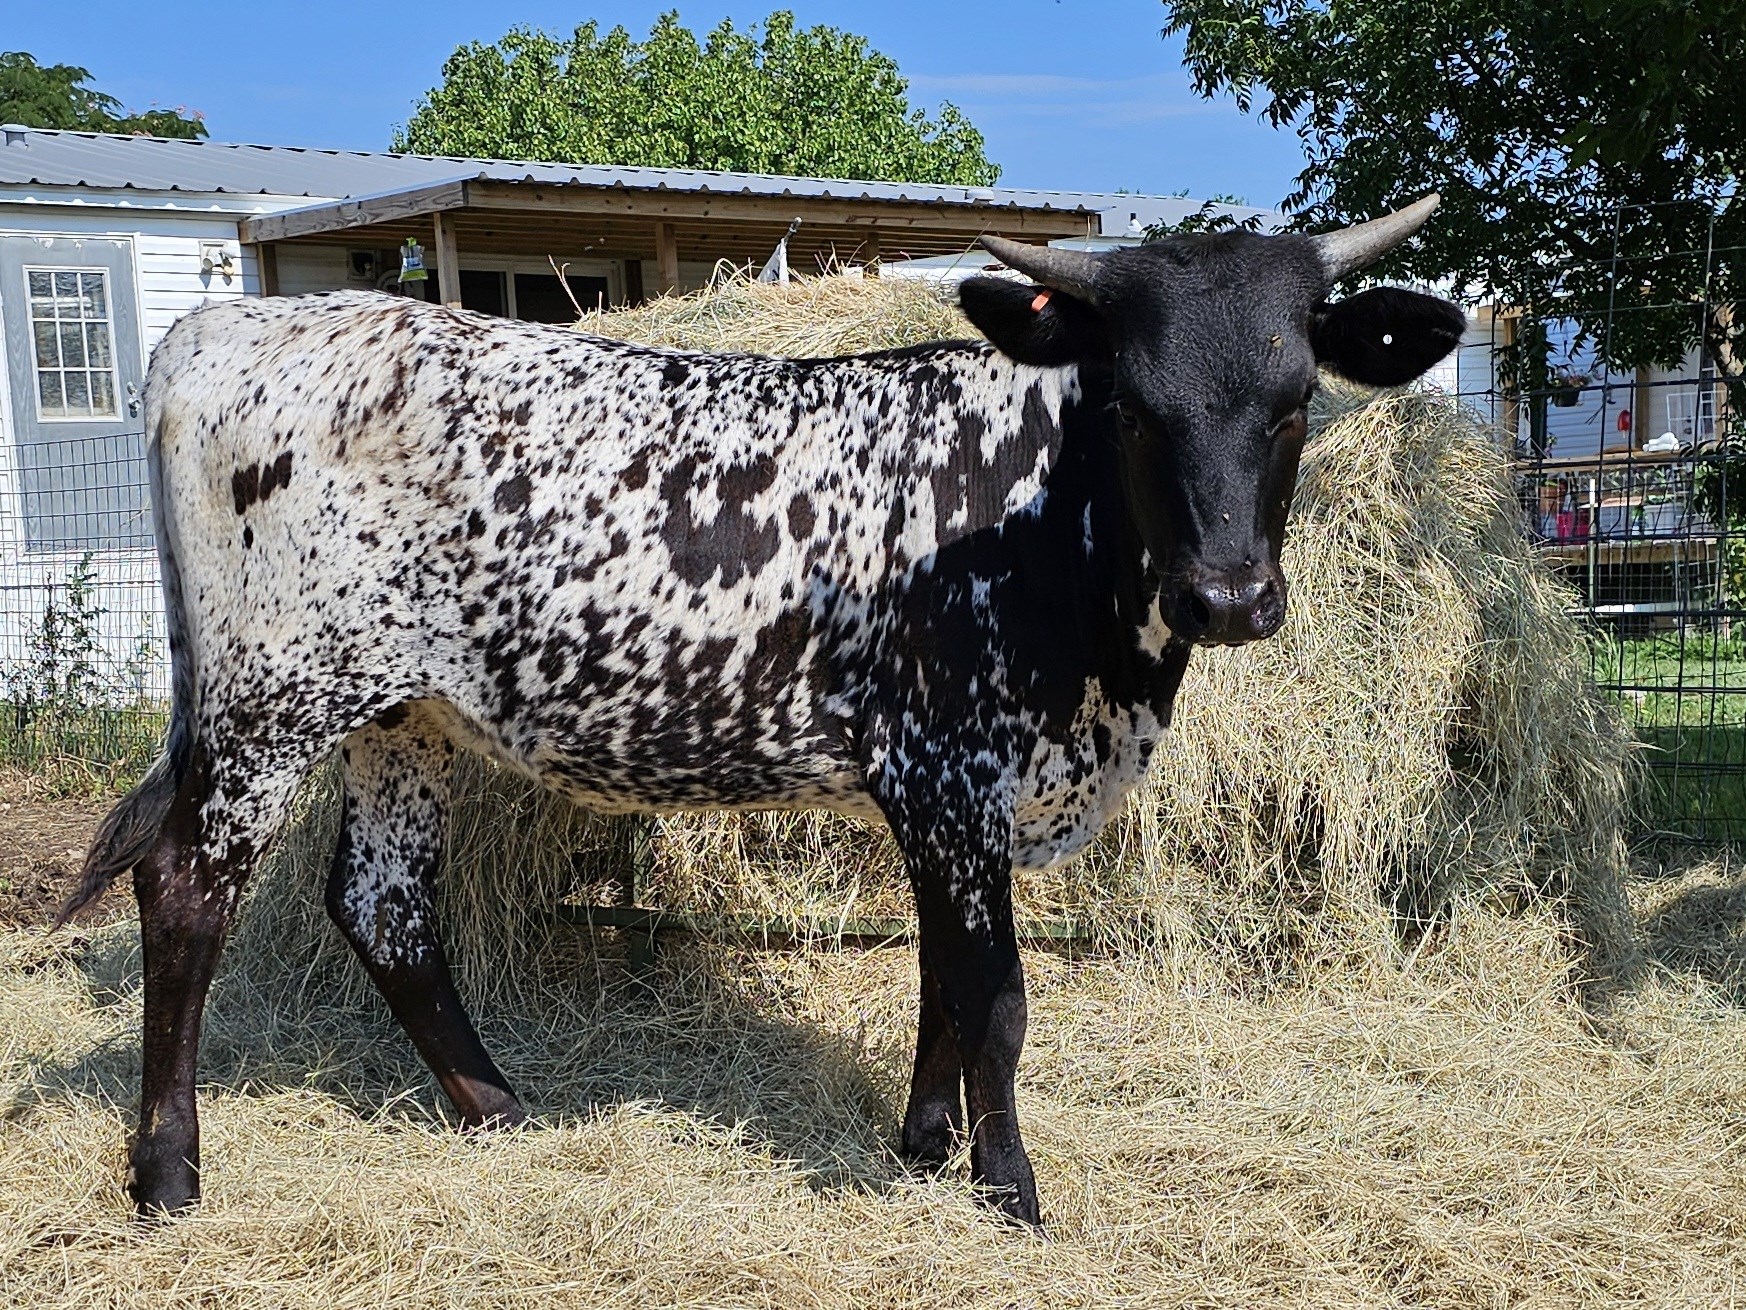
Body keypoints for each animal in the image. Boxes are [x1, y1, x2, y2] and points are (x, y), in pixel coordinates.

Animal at [60, 195, 1463, 1227]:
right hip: (270, 699)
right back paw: (170, 1171)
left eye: (1295, 403)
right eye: (1129, 402)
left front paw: (922, 1141)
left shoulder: (940, 798)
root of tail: (228, 334)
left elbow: (944, 981)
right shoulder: (953, 772)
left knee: (383, 901)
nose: (1225, 594)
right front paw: (1008, 1183)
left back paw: (495, 1104)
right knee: (184, 890)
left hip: (399, 715)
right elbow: (998, 990)